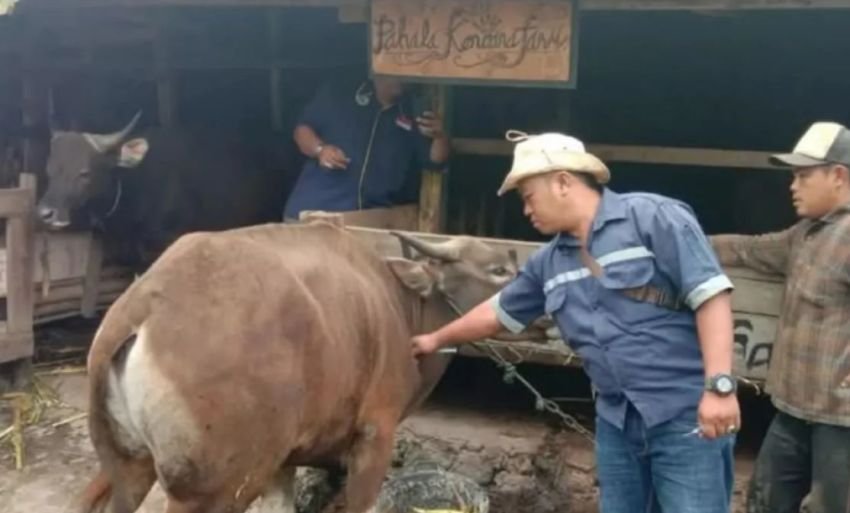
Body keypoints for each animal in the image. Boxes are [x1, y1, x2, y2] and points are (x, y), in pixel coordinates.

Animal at [74, 220, 516, 512]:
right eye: (498, 270)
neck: (399, 306)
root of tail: (143, 305)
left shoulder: (284, 463)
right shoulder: (375, 435)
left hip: (129, 466)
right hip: (213, 492)